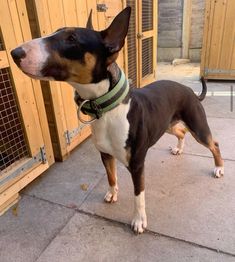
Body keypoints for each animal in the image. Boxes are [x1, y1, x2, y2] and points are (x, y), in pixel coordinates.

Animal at [11, 7, 224, 234]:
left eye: (72, 39)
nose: (15, 53)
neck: (108, 110)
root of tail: (190, 91)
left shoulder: (137, 165)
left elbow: (139, 196)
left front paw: (139, 220)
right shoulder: (105, 155)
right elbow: (111, 176)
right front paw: (113, 194)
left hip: (197, 126)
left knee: (213, 143)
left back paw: (219, 168)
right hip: (167, 125)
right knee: (181, 132)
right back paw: (179, 149)